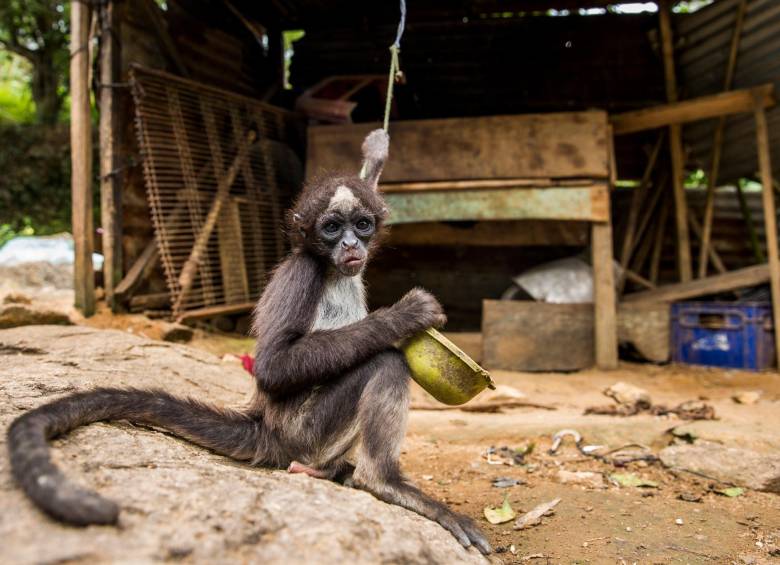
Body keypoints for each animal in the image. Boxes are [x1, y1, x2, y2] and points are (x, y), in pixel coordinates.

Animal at [6, 129, 490, 556]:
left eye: (364, 224)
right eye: (332, 228)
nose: (353, 244)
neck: (332, 271)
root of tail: (268, 428)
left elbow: (368, 174)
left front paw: (376, 149)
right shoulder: (302, 273)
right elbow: (274, 367)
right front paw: (405, 315)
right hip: (306, 430)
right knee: (385, 362)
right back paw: (380, 481)